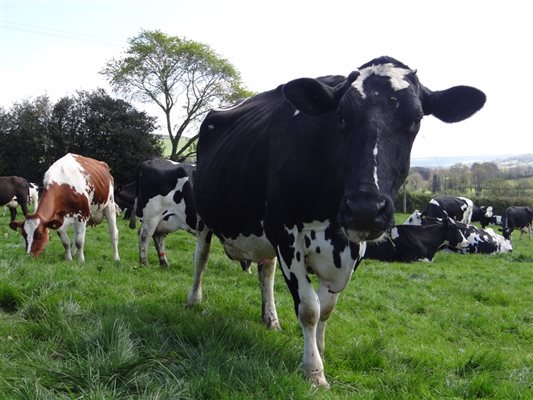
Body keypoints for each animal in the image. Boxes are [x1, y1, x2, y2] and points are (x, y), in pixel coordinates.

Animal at [185, 57, 484, 388]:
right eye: (341, 117)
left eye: (416, 120)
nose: (366, 208)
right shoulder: (285, 231)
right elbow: (309, 308)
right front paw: (314, 371)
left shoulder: (351, 248)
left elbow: (327, 308)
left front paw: (320, 349)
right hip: (204, 217)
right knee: (201, 258)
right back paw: (194, 300)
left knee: (266, 272)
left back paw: (270, 318)